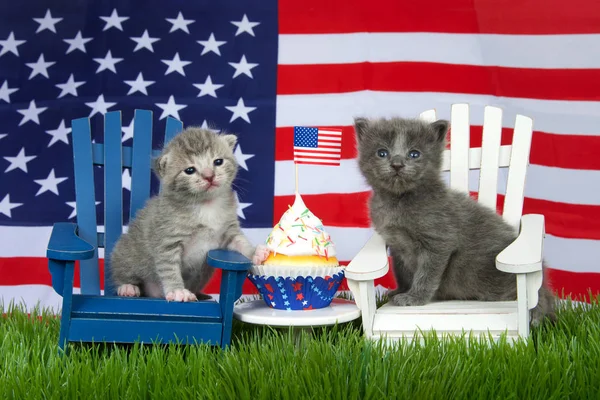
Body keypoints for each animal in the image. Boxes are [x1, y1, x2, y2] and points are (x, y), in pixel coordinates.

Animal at [110, 126, 264, 302]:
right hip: (124, 253)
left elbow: (240, 243)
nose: (209, 176)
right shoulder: (167, 240)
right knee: (123, 272)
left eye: (218, 162)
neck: (205, 205)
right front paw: (178, 290)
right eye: (190, 170)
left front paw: (256, 252)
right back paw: (127, 287)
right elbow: (169, 267)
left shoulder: (228, 230)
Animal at [354, 115, 556, 324]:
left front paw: (415, 297)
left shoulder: (439, 240)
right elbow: (401, 271)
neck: (399, 200)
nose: (397, 164)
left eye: (414, 154)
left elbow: (426, 273)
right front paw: (400, 290)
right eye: (382, 152)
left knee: (539, 296)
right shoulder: (396, 245)